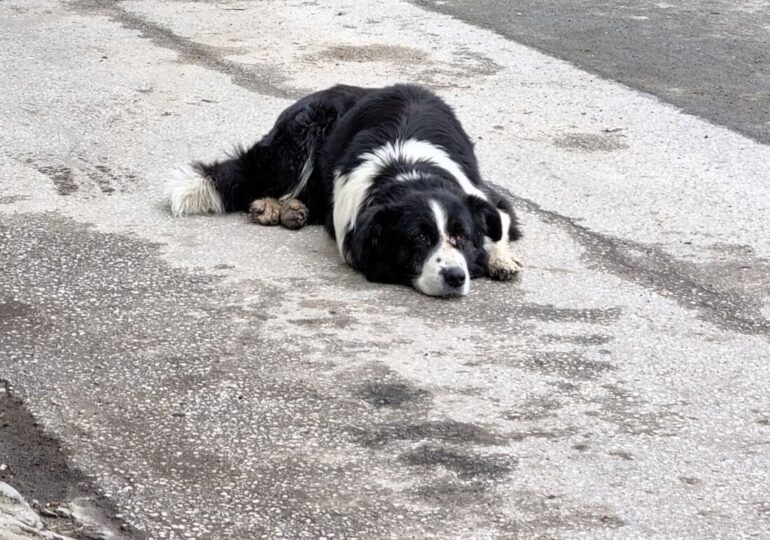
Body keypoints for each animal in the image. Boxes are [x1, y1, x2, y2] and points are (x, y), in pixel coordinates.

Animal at [165, 83, 520, 300]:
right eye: (419, 238)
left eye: (461, 237)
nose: (456, 277)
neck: (410, 171)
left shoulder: (483, 194)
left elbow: (500, 221)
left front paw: (499, 258)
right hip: (303, 132)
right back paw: (272, 207)